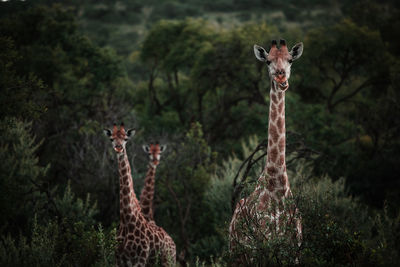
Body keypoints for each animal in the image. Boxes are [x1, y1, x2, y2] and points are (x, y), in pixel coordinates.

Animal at [103, 124, 175, 266]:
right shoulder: (118, 259)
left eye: (125, 139)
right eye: (111, 139)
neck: (127, 219)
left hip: (169, 261)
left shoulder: (140, 259)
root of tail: (173, 243)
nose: (118, 148)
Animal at [228, 39, 304, 264]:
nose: (281, 78)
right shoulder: (260, 248)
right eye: (268, 61)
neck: (276, 188)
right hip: (237, 254)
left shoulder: (294, 250)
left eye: (290, 59)